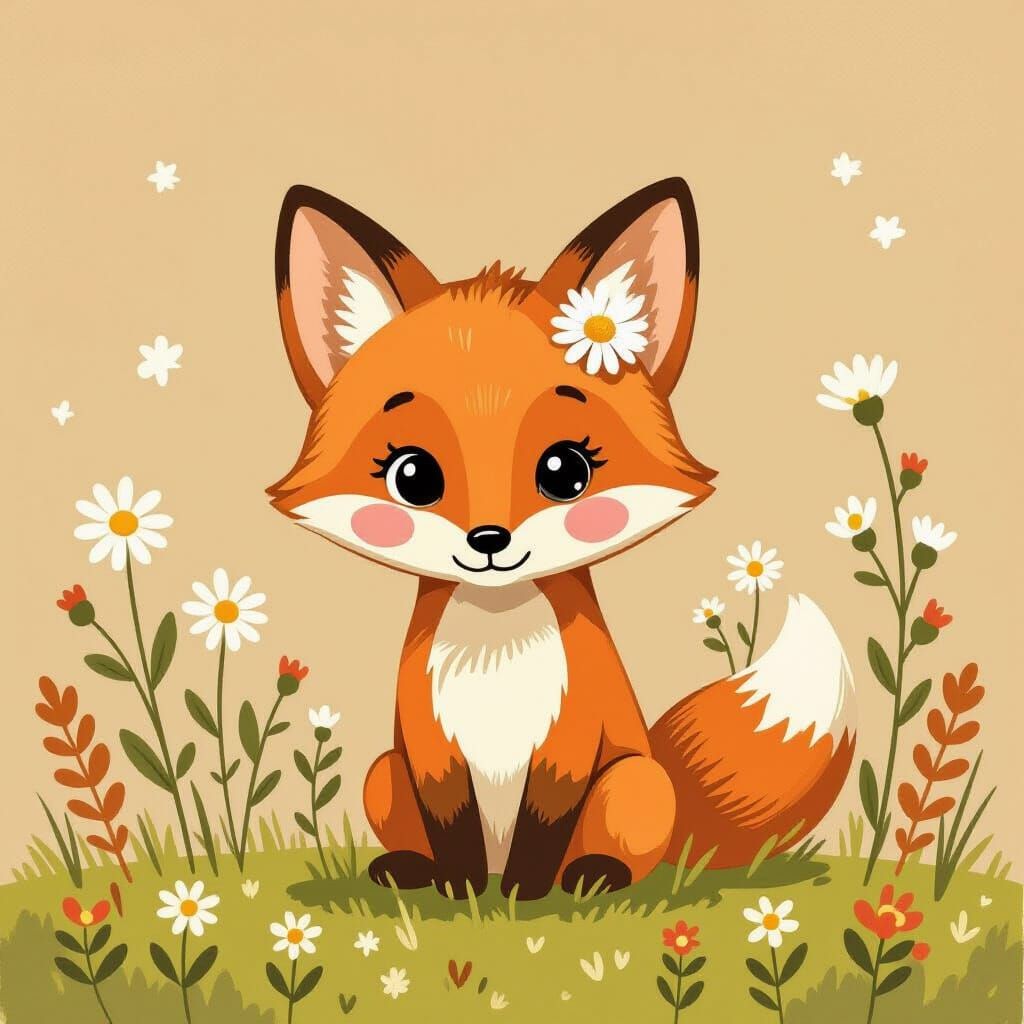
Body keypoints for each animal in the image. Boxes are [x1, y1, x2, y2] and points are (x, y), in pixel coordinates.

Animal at [267, 178, 856, 900]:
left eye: (565, 470)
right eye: (412, 474)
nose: (488, 539)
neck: (496, 649)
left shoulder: (570, 746)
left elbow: (544, 829)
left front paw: (524, 894)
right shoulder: (432, 755)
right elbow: (452, 829)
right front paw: (463, 892)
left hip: (633, 781)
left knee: (628, 857)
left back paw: (594, 877)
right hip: (385, 772)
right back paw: (410, 870)